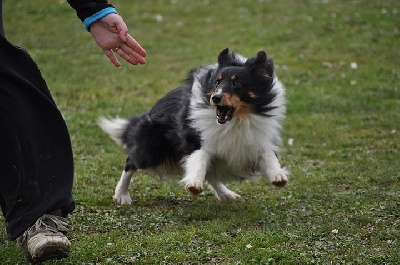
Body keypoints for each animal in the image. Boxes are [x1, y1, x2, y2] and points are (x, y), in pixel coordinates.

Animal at [99, 48, 288, 204]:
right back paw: (122, 195)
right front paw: (194, 184)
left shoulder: (255, 139)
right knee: (131, 162)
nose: (215, 98)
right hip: (152, 147)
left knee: (212, 175)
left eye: (236, 83)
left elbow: (268, 154)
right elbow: (199, 158)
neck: (236, 121)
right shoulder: (196, 139)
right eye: (217, 82)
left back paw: (226, 194)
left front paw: (278, 175)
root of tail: (153, 108)